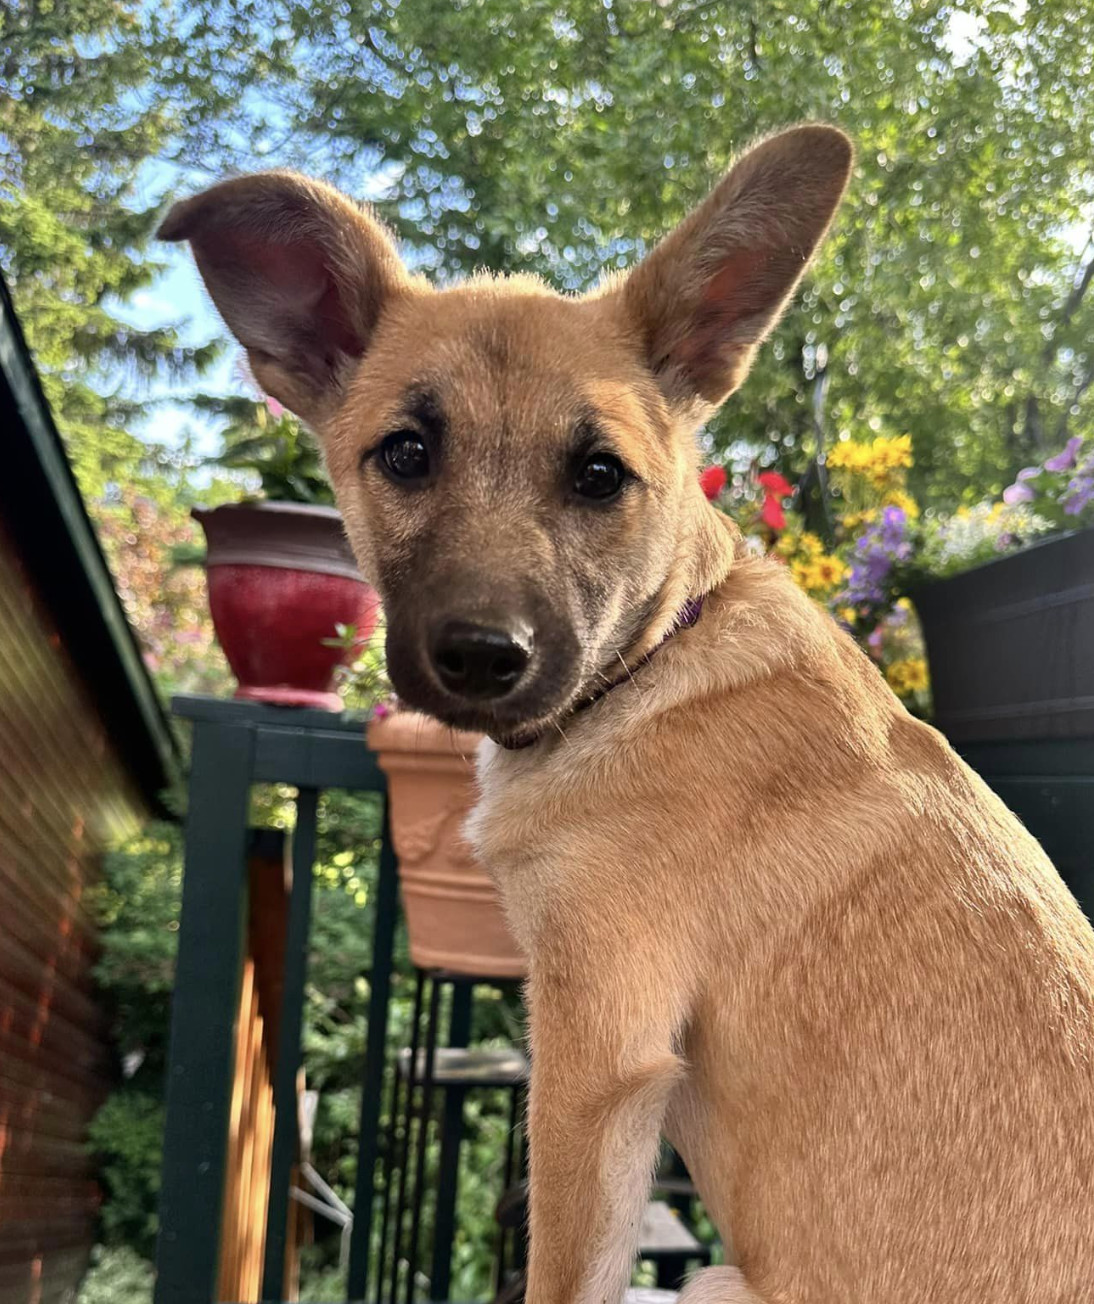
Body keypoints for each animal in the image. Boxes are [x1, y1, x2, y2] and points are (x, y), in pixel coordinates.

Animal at [162, 124, 1094, 1304]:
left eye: (601, 475)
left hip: (711, 1280)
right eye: (406, 453)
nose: (483, 657)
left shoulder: (593, 1058)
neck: (655, 659)